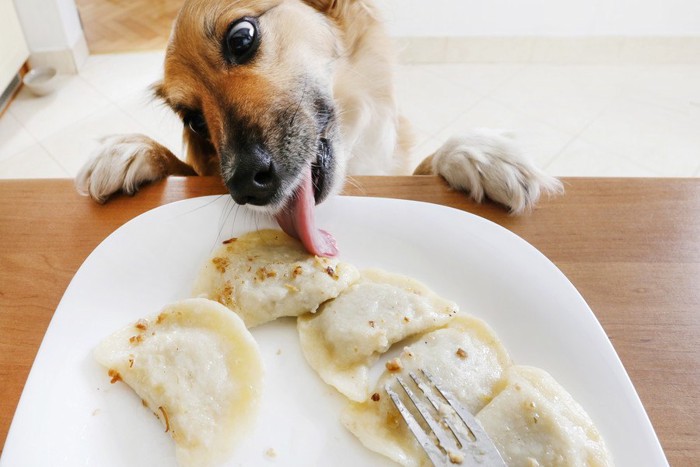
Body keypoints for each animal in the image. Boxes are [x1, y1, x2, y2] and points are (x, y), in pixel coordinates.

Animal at [75, 0, 564, 256]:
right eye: (193, 119)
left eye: (241, 37)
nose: (245, 186)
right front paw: (129, 150)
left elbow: (426, 163)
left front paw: (479, 154)